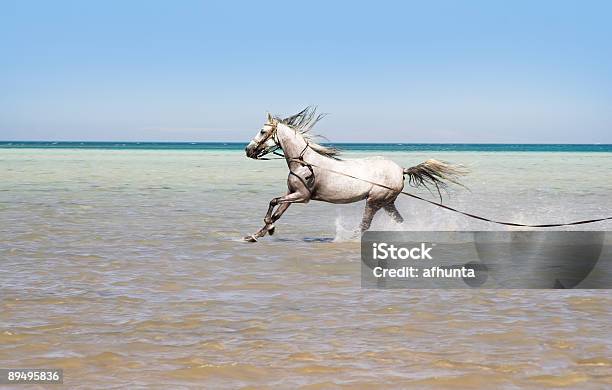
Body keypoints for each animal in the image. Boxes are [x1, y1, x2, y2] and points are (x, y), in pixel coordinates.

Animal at [243, 106, 464, 241]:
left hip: (374, 201)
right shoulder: (291, 194)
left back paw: (347, 239)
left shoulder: (302, 196)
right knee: (399, 221)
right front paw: (255, 235)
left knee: (365, 225)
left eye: (263, 131)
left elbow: (273, 202)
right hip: (387, 203)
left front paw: (268, 228)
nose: (248, 150)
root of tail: (400, 170)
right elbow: (277, 212)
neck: (305, 163)